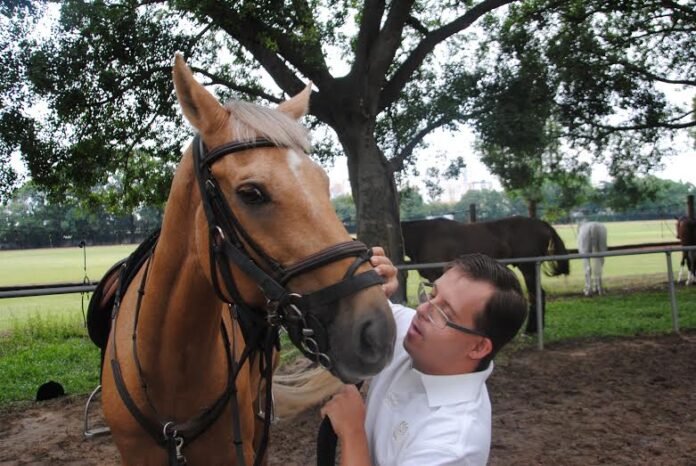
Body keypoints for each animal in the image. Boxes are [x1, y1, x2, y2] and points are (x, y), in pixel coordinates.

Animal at [401, 216, 570, 334]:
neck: (423, 236)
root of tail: (543, 224)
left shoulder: (437, 276)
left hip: (528, 269)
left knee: (536, 295)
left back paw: (531, 330)